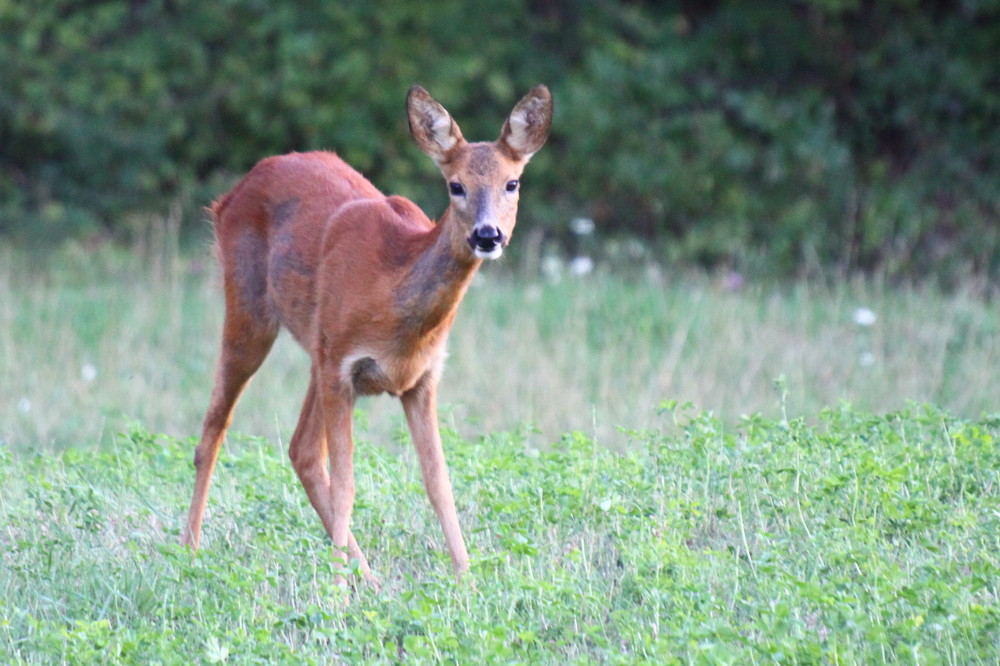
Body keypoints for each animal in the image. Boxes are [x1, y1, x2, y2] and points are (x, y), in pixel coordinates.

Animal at [180, 84, 556, 588]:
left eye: (512, 183)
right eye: (455, 185)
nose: (487, 235)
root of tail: (231, 194)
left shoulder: (421, 379)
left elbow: (439, 481)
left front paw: (467, 580)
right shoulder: (343, 367)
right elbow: (348, 484)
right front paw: (336, 595)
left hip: (315, 352)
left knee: (301, 450)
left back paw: (371, 579)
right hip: (254, 312)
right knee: (214, 431)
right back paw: (189, 551)